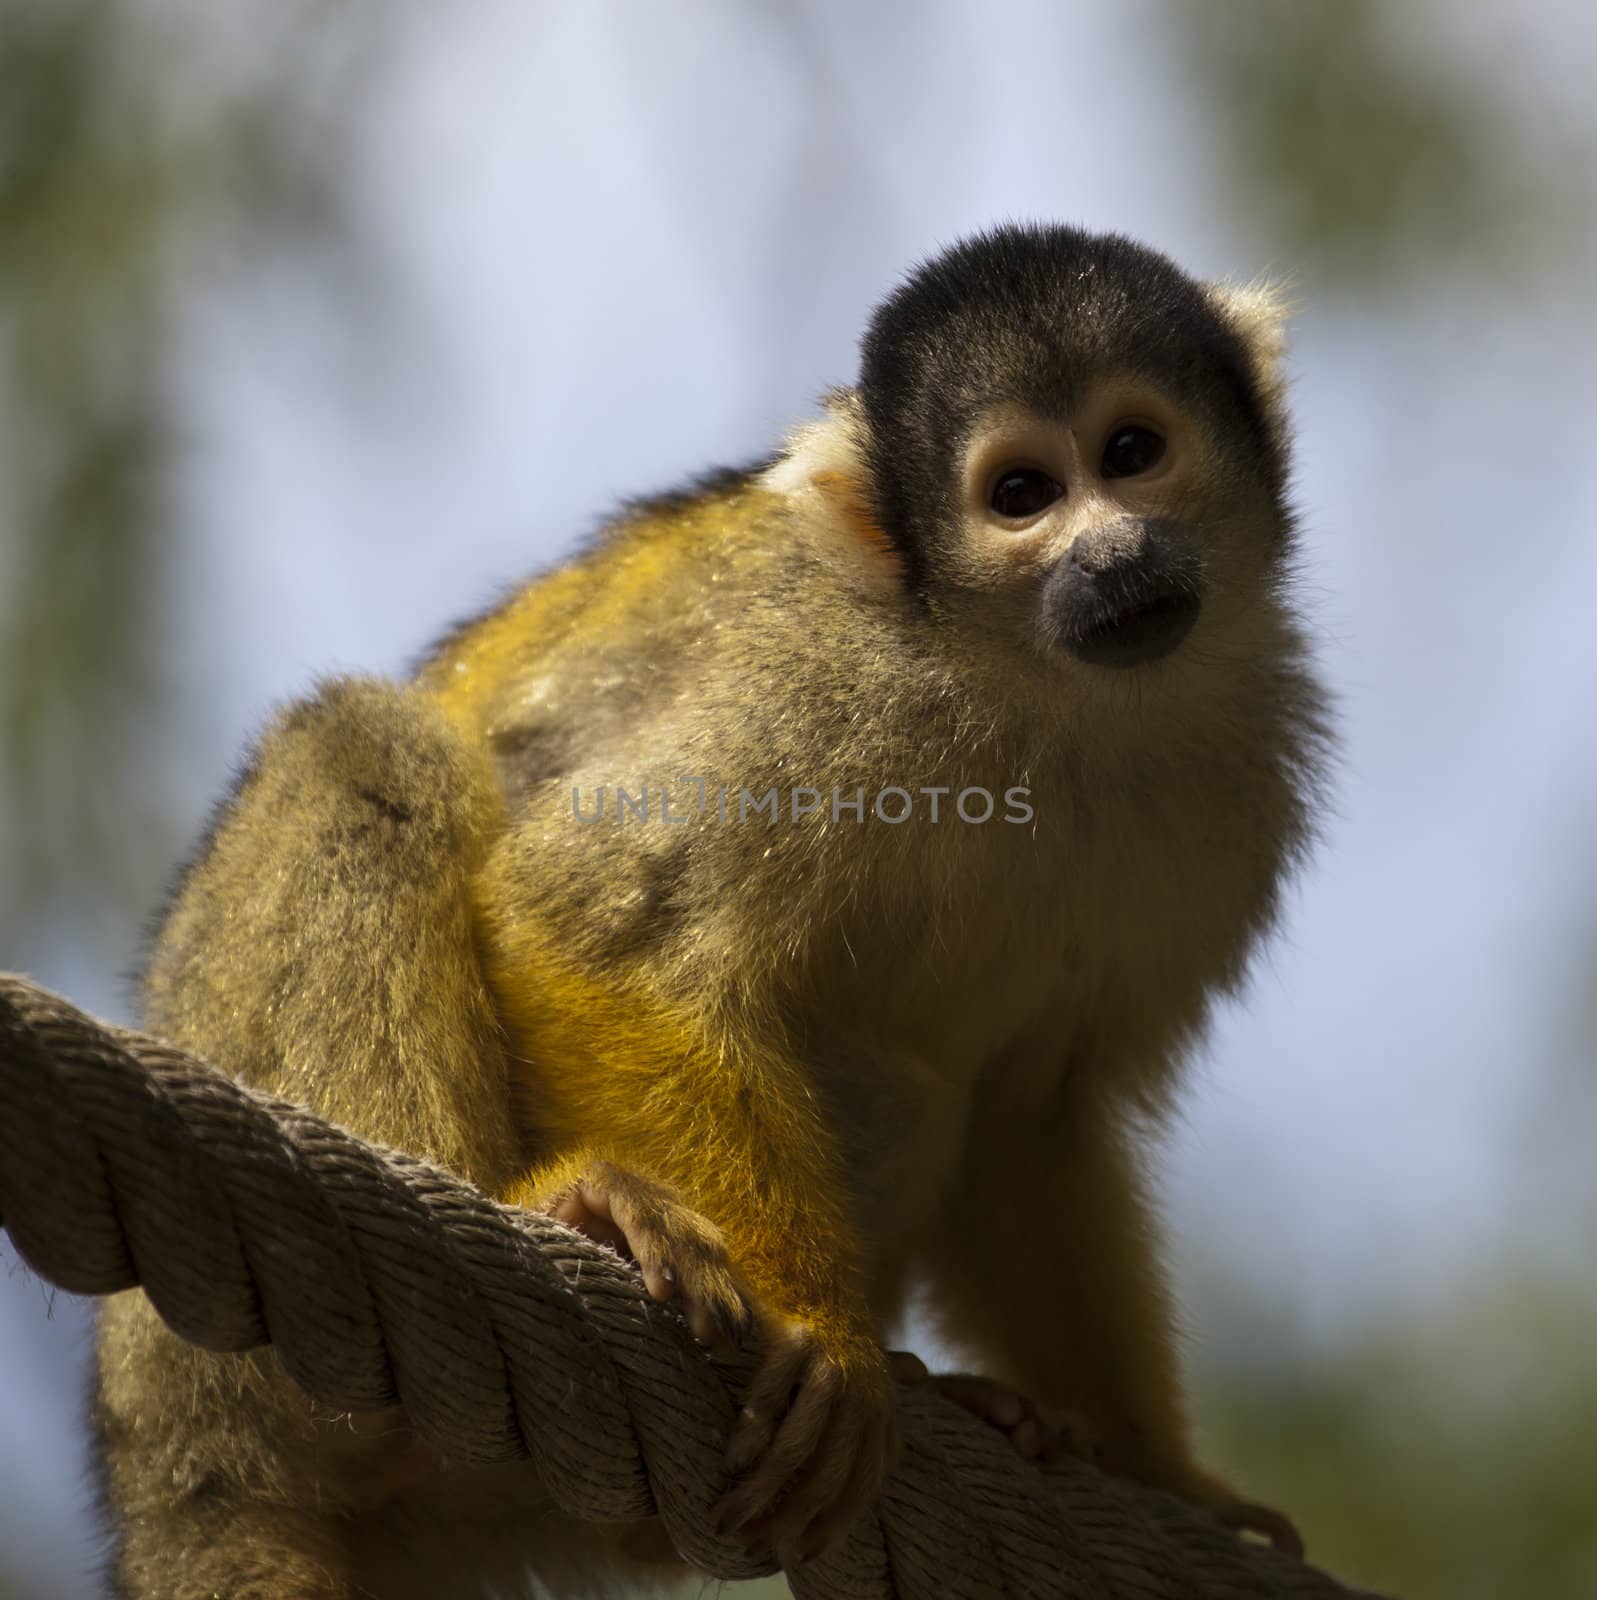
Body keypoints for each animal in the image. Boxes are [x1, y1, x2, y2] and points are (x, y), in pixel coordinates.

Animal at [93, 228, 1331, 1600]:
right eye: (1020, 495)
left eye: (1130, 452)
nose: (1113, 557)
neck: (1039, 690)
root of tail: (160, 1471)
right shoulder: (821, 687)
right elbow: (595, 916)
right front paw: (819, 1327)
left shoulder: (1237, 782)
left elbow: (1030, 1108)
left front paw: (1167, 1478)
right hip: (190, 1351)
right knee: (359, 749)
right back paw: (553, 1215)